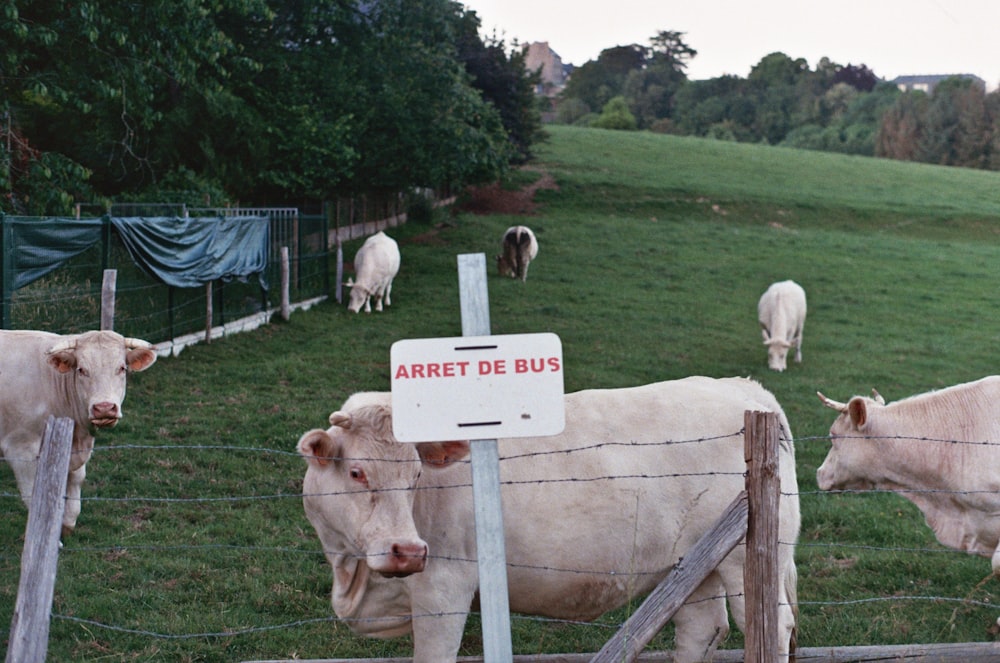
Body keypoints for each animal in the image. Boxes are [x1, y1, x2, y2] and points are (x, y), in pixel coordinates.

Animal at [0, 330, 158, 536]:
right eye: (81, 370)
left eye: (122, 368)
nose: (104, 408)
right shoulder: (20, 449)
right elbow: (32, 496)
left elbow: (76, 484)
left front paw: (66, 525)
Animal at [292, 378, 800, 663]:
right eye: (357, 472)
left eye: (416, 474)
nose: (408, 550)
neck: (353, 576)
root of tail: (745, 390)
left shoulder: (445, 587)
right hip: (697, 565)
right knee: (702, 630)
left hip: (750, 559)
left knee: (773, 628)